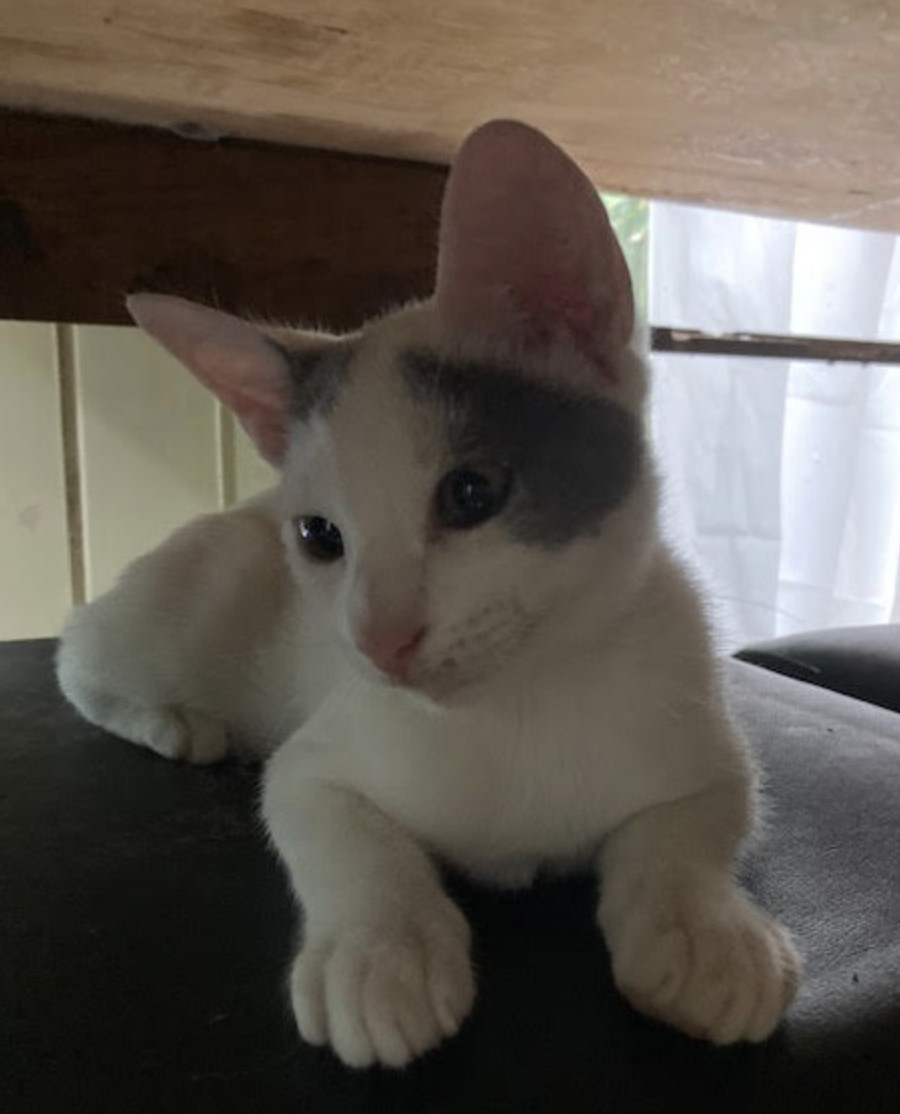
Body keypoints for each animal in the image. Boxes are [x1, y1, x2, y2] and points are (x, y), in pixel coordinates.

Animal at [57, 121, 801, 1069]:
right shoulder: (312, 760)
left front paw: (704, 935)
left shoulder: (707, 744)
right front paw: (383, 953)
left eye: (471, 493)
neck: (515, 708)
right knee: (76, 654)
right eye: (320, 537)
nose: (381, 640)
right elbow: (336, 833)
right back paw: (171, 724)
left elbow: (695, 827)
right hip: (180, 614)